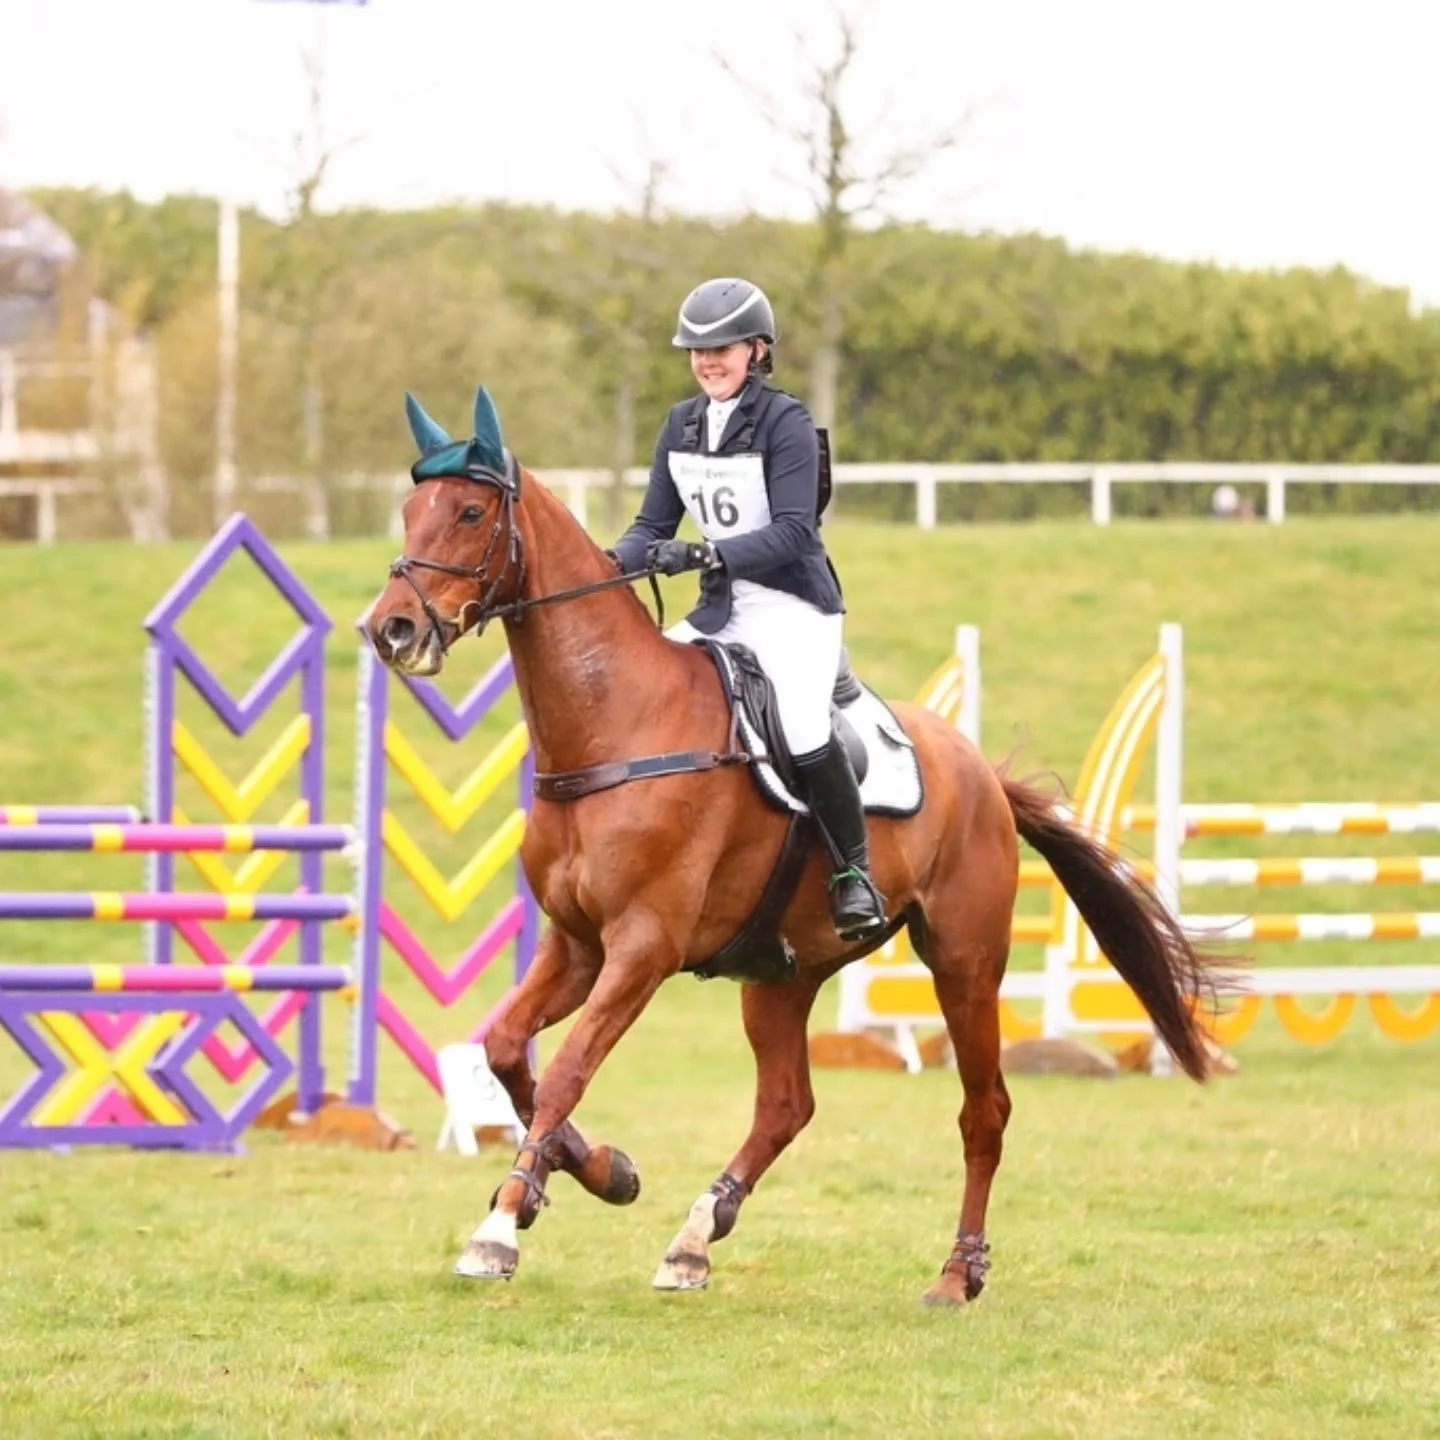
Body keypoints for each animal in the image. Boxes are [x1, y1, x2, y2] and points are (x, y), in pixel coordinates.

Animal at [365, 384, 1225, 1308]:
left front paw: (500, 1226)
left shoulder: (641, 949)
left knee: (982, 1109)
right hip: (781, 973)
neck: (617, 724)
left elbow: (564, 1070)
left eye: (470, 511)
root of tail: (983, 774)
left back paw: (957, 1274)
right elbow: (505, 1054)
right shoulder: (578, 945)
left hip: (963, 959)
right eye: (409, 511)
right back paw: (694, 1240)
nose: (391, 630)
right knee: (787, 1104)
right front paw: (597, 1173)